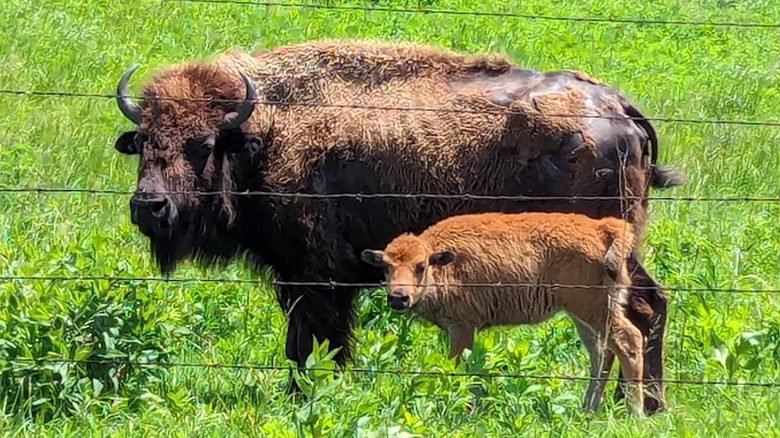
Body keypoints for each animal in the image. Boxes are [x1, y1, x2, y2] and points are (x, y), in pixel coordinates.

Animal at [111, 39, 684, 413]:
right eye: (143, 141)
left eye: (202, 144)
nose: (149, 206)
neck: (262, 130)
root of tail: (618, 107)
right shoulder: (306, 279)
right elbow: (312, 341)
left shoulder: (315, 277)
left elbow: (314, 342)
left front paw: (310, 398)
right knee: (646, 307)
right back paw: (639, 405)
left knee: (635, 315)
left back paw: (636, 405)